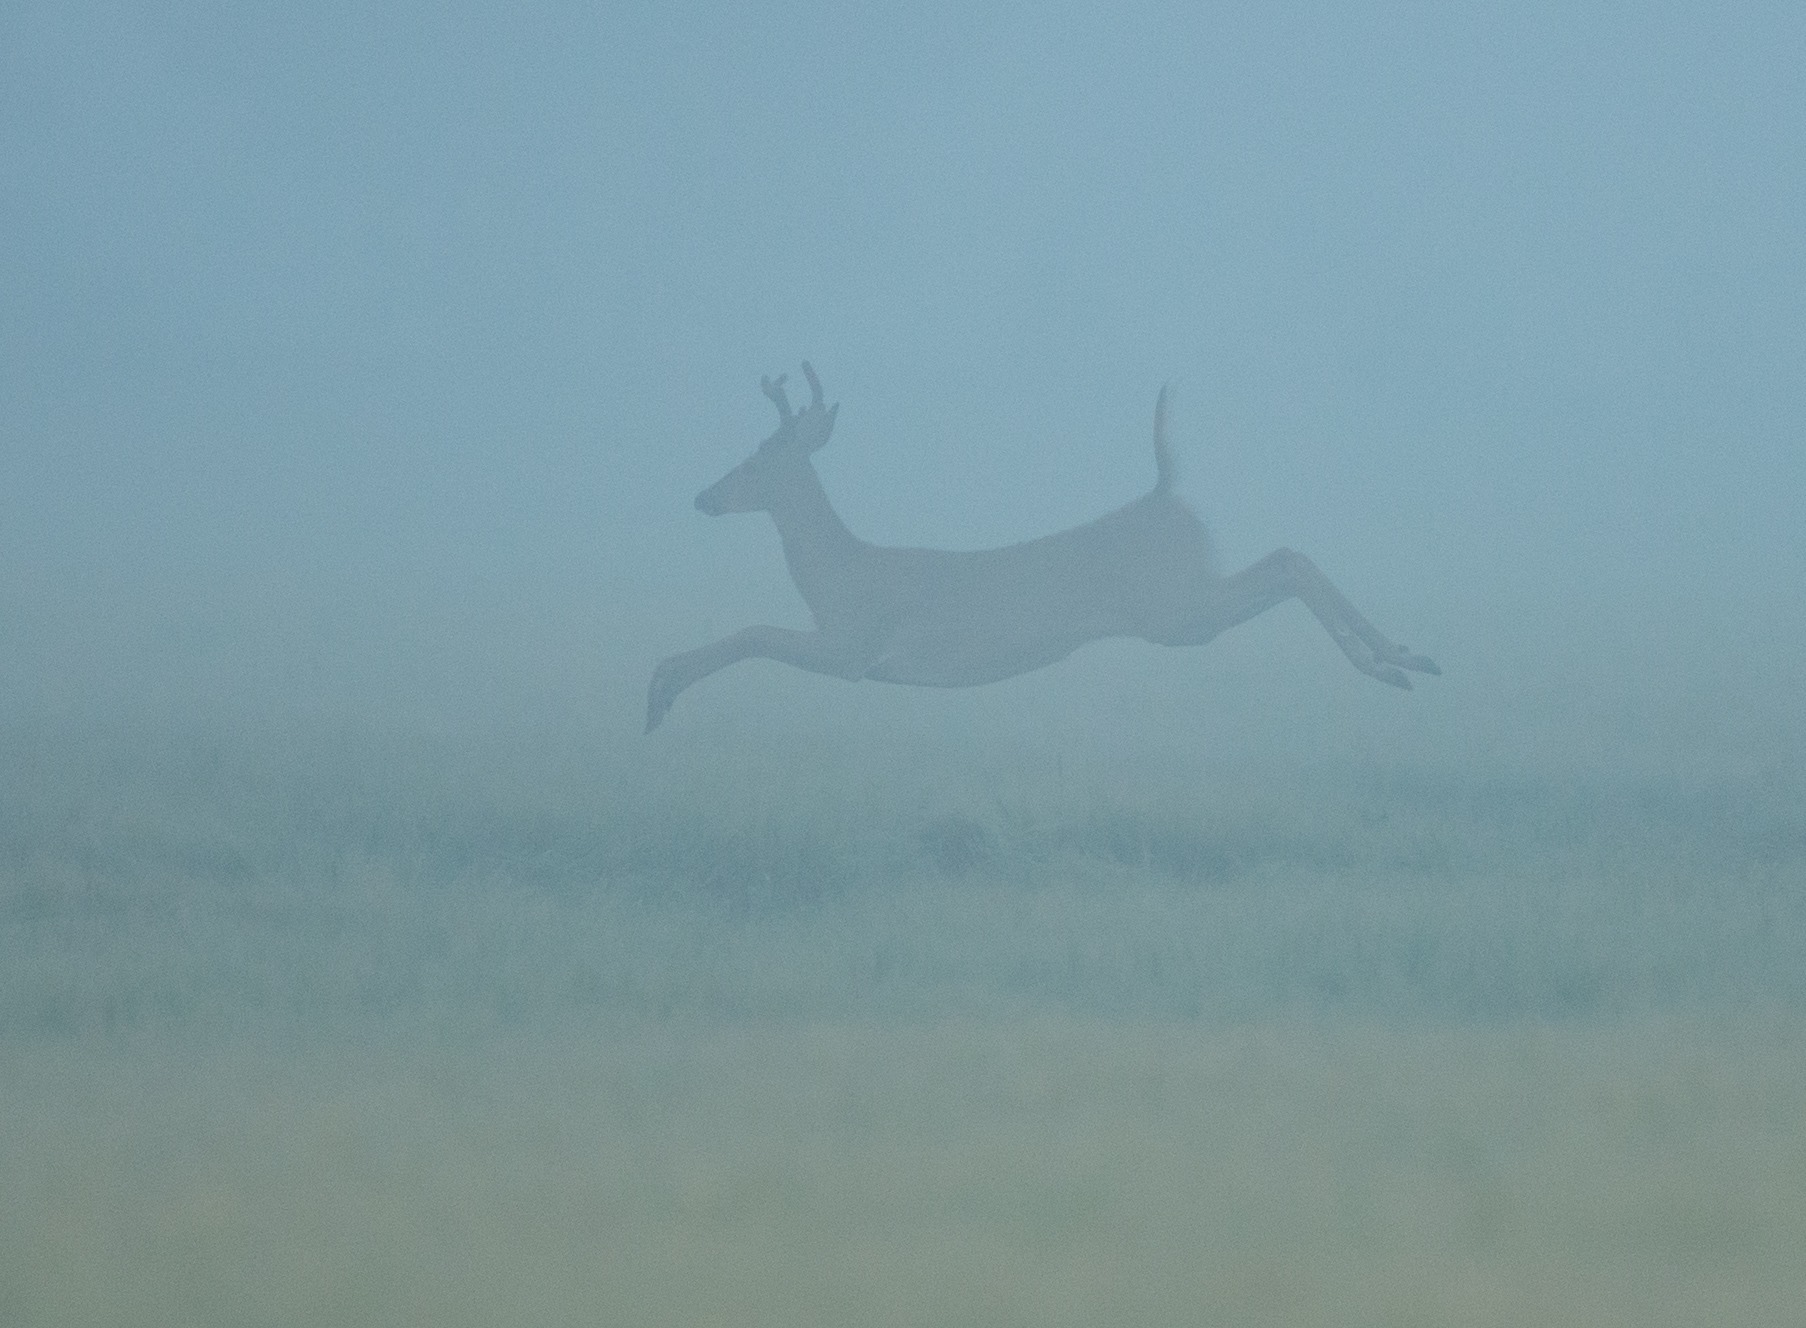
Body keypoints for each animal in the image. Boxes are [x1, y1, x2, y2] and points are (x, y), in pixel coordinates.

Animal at [645, 363, 1438, 732]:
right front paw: (660, 689)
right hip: (1184, 605)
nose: (703, 496)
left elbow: (753, 633)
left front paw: (660, 690)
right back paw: (1404, 658)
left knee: (1289, 562)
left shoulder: (855, 647)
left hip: (1175, 612)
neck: (836, 572)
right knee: (1288, 561)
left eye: (754, 460)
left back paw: (1395, 664)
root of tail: (1165, 493)